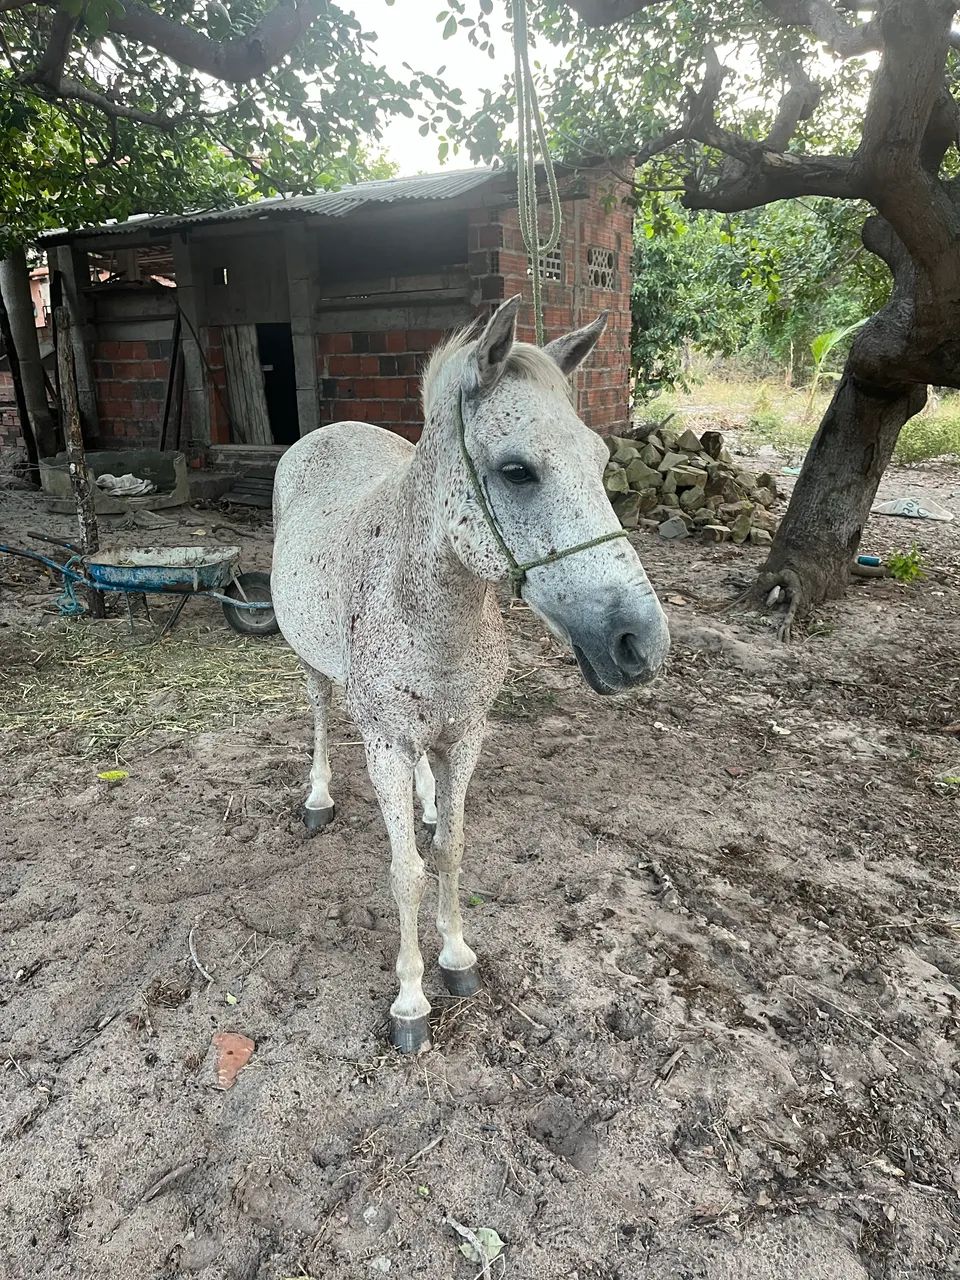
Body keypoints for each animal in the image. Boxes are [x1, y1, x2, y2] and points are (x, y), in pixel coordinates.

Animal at [271, 295, 670, 1053]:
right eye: (517, 471)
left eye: (601, 459)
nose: (640, 643)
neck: (426, 605)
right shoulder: (385, 743)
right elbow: (406, 871)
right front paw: (410, 999)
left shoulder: (467, 734)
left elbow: (451, 848)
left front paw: (456, 956)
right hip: (311, 664)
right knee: (320, 713)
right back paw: (318, 797)